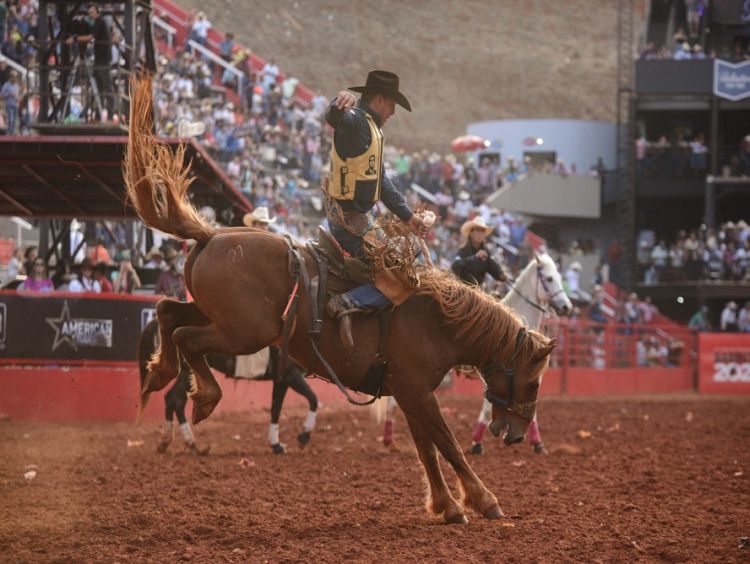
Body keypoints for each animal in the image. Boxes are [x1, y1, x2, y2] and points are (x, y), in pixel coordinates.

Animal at [374, 251, 572, 454]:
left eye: (559, 277)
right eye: (549, 278)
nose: (566, 307)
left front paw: (537, 443)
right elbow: (492, 407)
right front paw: (477, 442)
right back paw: (389, 440)